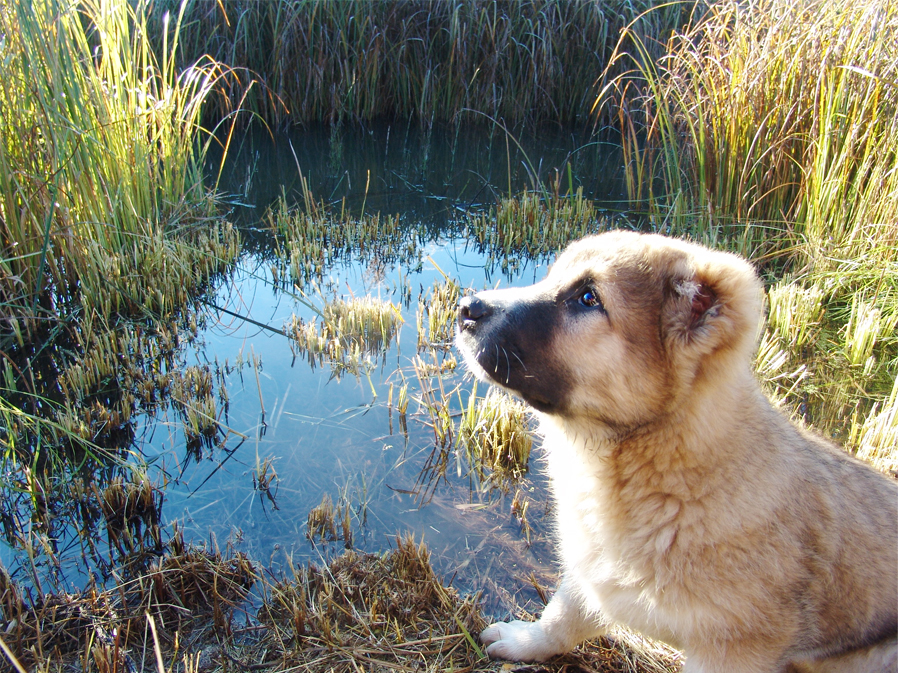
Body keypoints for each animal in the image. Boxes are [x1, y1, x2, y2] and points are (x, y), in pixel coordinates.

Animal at [456, 232, 896, 672]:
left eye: (588, 298)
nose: (465, 309)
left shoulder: (731, 650)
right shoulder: (592, 572)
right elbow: (563, 617)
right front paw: (524, 641)